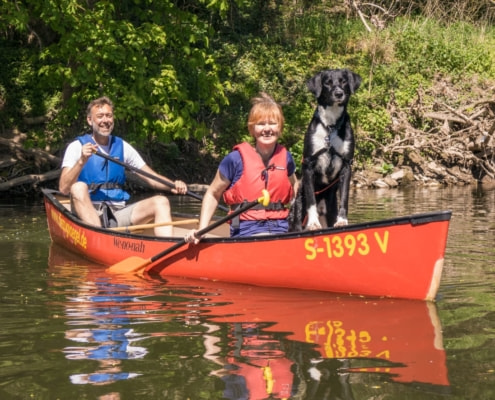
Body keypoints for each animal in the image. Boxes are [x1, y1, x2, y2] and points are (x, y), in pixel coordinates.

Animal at [288, 69, 362, 231]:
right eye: (327, 82)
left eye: (343, 81)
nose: (339, 93)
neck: (330, 126)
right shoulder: (308, 165)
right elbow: (311, 200)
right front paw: (313, 223)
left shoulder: (347, 166)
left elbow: (345, 197)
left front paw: (342, 221)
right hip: (296, 212)